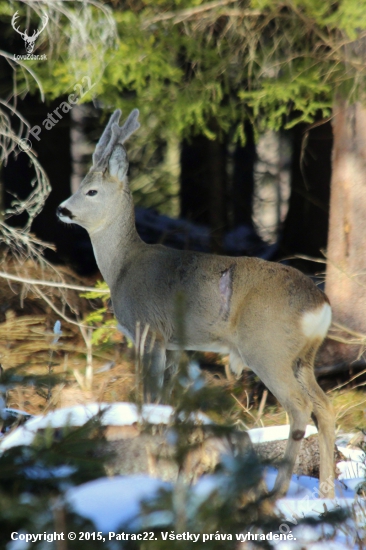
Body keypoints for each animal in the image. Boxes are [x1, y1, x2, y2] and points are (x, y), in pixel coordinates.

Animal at [57, 110, 334, 498]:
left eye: (91, 190)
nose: (61, 209)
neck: (123, 266)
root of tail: (320, 305)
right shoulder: (176, 344)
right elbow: (166, 401)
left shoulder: (149, 330)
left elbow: (149, 398)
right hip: (303, 357)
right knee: (325, 407)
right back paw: (328, 492)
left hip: (268, 348)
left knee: (300, 408)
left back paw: (277, 489)